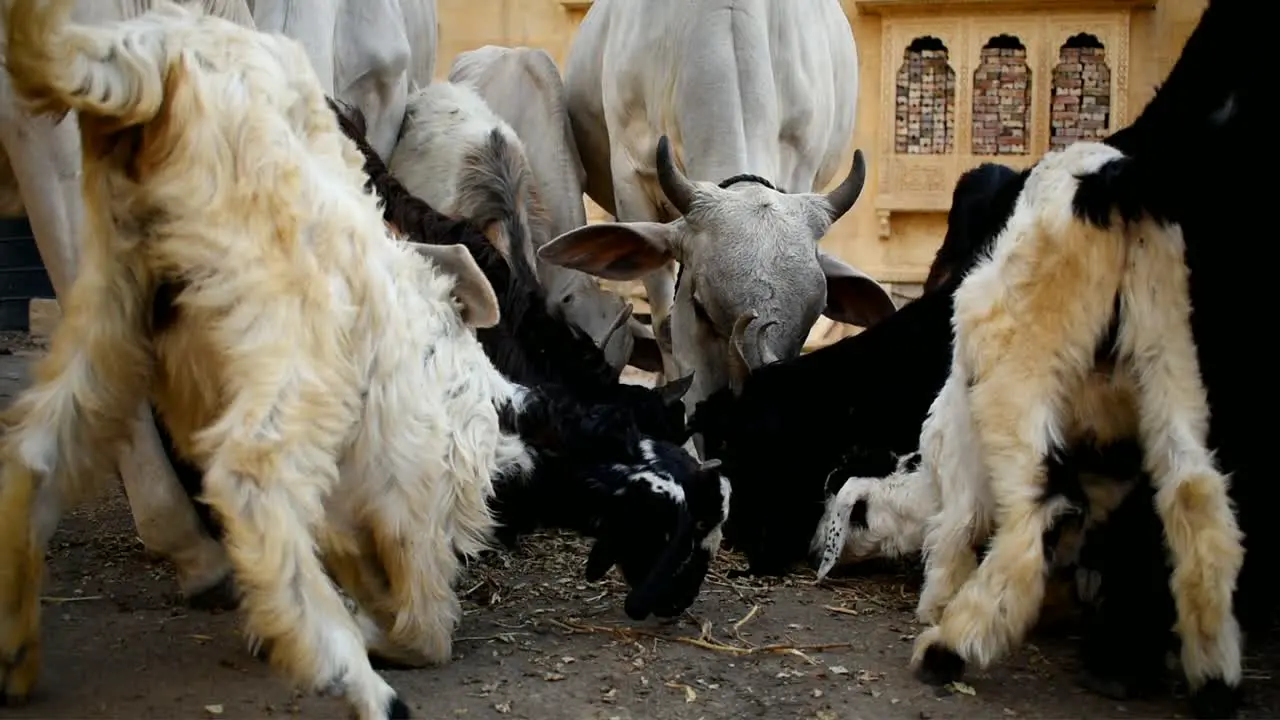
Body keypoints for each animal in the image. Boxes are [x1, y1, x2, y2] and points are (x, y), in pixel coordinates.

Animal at [0, 2, 524, 712]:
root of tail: (159, 60)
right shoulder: (408, 471)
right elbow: (416, 601)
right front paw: (385, 630)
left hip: (114, 305)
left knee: (38, 452)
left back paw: (18, 648)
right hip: (294, 341)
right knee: (248, 478)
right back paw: (361, 683)